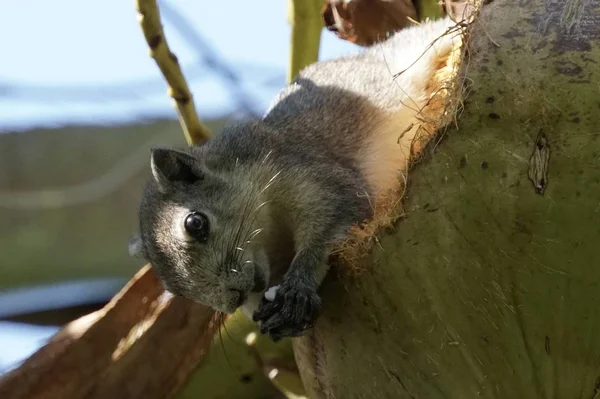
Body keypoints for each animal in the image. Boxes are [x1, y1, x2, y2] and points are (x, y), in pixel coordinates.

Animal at [129, 17, 462, 342]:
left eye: (195, 223)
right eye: (173, 289)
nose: (234, 299)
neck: (271, 233)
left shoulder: (307, 175)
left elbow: (334, 216)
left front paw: (297, 289)